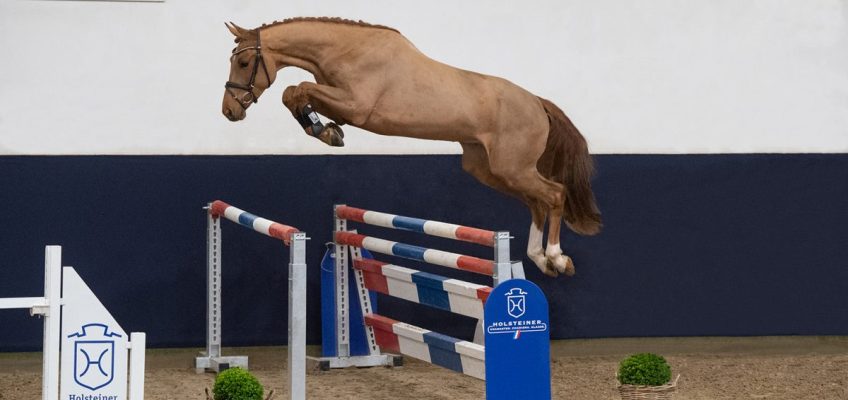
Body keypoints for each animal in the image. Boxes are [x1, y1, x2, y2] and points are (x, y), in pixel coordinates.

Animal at [222, 17, 600, 276]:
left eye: (243, 63)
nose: (229, 111)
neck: (346, 50)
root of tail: (537, 102)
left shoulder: (356, 106)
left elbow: (298, 89)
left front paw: (324, 130)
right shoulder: (340, 103)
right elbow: (294, 93)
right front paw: (326, 130)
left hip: (512, 167)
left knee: (554, 194)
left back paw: (556, 257)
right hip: (489, 169)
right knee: (537, 203)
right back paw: (540, 258)